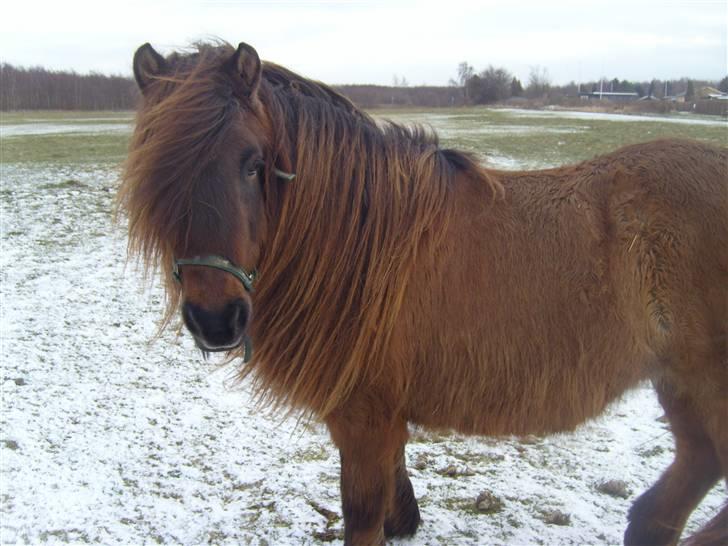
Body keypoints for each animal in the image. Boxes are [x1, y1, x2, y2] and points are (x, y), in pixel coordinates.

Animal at [119, 42, 728, 544]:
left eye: (254, 165)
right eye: (155, 173)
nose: (216, 319)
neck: (358, 240)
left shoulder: (364, 420)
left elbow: (363, 520)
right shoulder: (382, 423)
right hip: (680, 387)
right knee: (691, 473)